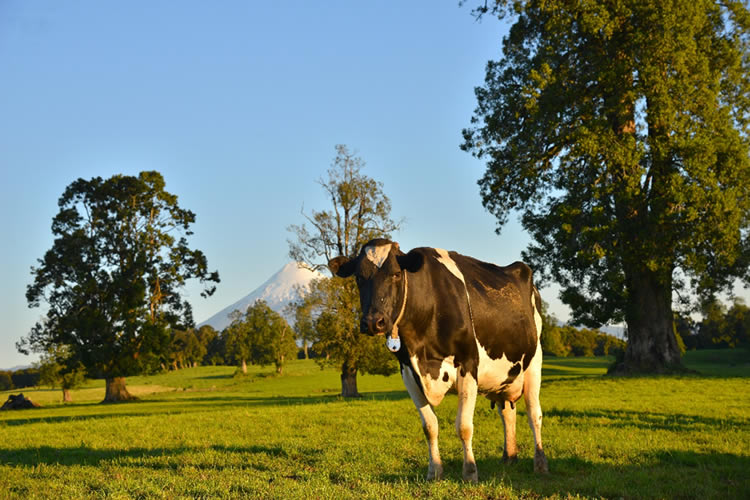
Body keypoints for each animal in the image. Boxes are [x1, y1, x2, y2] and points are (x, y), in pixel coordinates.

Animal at [330, 240, 552, 482]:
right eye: (359, 277)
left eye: (396, 274)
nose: (373, 322)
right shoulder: (408, 372)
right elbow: (429, 426)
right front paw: (434, 471)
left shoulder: (468, 364)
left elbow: (464, 426)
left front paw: (470, 472)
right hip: (505, 377)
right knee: (507, 413)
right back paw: (509, 458)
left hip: (534, 363)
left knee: (534, 415)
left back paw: (540, 464)